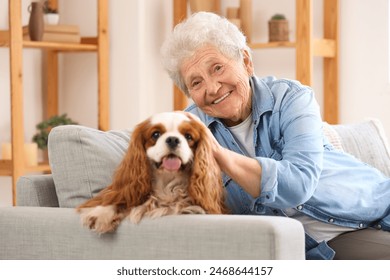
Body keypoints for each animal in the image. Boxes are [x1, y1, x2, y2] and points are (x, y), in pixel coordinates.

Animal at [76, 110, 225, 233]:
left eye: (188, 136)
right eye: (155, 134)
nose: (173, 139)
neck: (167, 181)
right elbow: (118, 198)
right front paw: (100, 214)